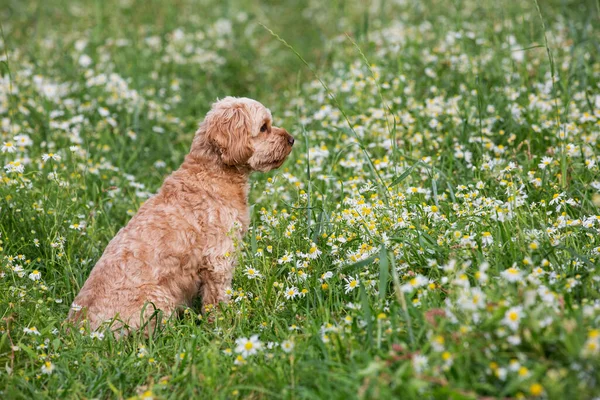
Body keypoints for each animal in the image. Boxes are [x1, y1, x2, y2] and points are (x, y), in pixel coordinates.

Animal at [69, 97, 294, 332]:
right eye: (263, 128)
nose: (292, 139)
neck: (214, 174)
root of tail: (79, 329)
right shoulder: (218, 259)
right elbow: (217, 299)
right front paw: (224, 325)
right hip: (159, 298)